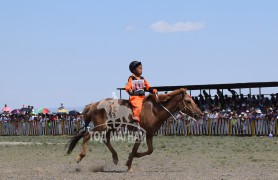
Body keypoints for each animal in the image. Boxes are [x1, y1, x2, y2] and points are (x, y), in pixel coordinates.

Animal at [66, 88, 203, 172]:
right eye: (188, 101)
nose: (200, 114)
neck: (154, 110)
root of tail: (94, 104)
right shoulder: (141, 133)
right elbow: (136, 149)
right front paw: (129, 164)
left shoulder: (149, 133)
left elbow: (149, 150)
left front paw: (130, 160)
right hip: (101, 127)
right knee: (86, 136)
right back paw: (80, 156)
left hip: (111, 127)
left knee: (105, 140)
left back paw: (115, 158)